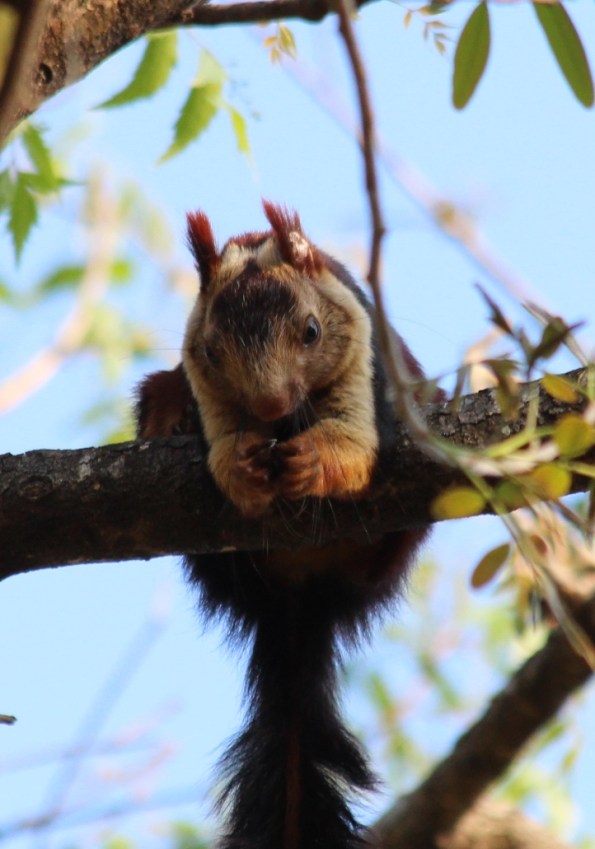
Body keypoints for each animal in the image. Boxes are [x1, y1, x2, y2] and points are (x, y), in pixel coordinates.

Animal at [136, 202, 434, 849]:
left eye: (312, 333)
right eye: (213, 351)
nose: (271, 407)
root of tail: (301, 599)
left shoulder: (364, 361)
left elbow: (351, 446)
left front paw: (315, 461)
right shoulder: (207, 387)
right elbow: (225, 449)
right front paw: (243, 466)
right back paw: (168, 417)